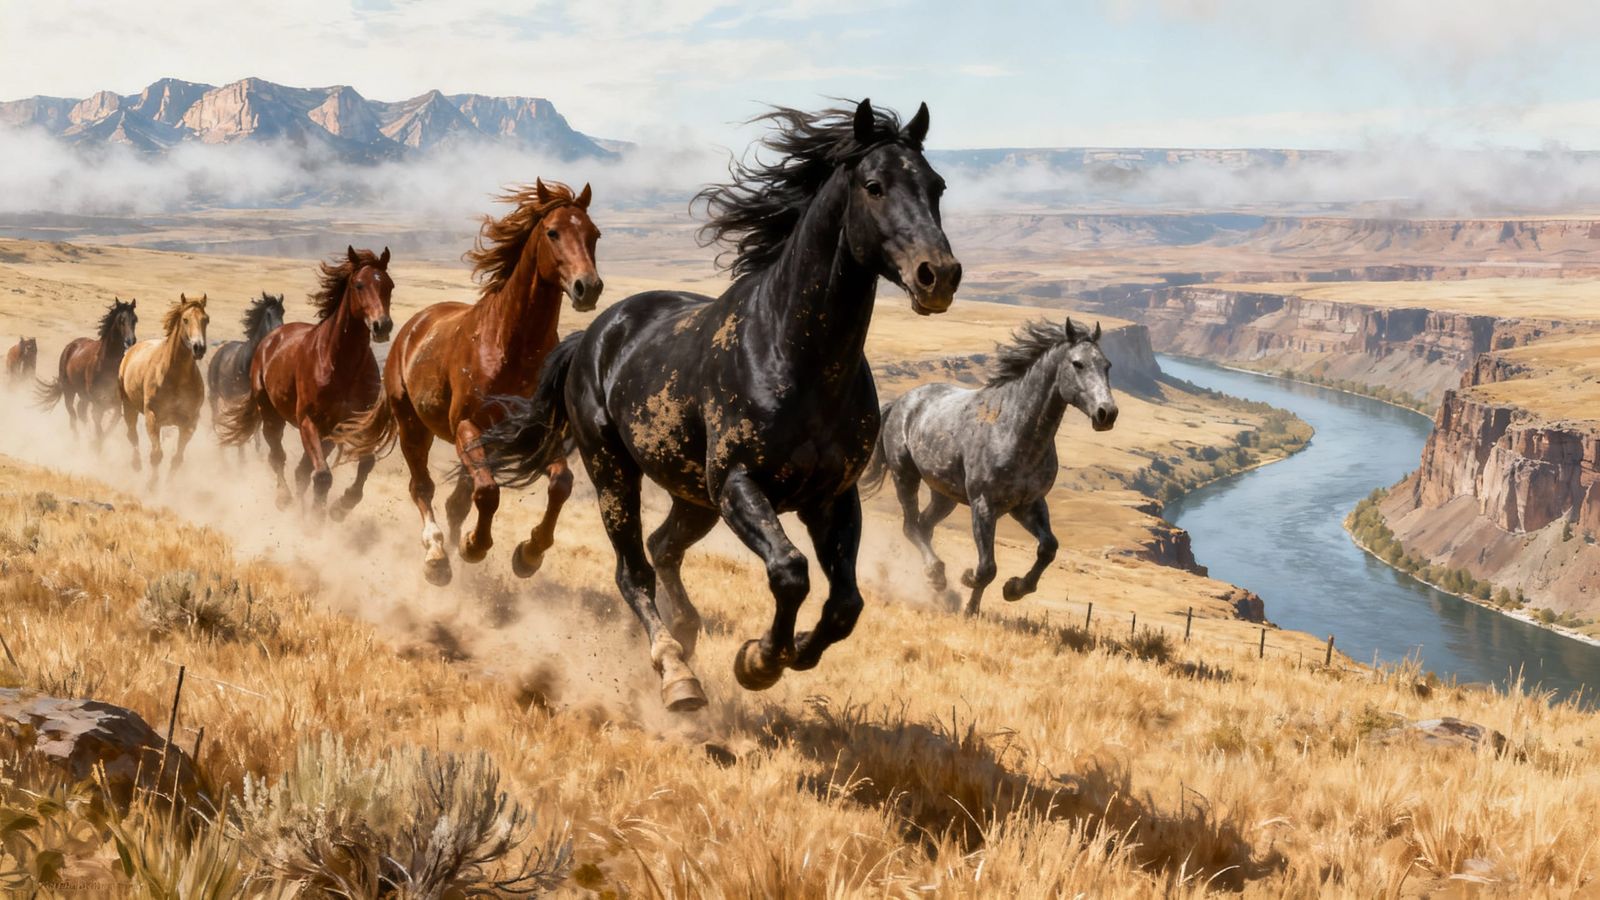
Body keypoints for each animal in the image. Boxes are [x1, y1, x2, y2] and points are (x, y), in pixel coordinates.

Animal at [35, 298, 138, 444]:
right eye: (121, 320)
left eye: (135, 319)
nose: (130, 341)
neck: (106, 362)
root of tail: (71, 346)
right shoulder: (97, 401)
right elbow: (98, 422)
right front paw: (96, 444)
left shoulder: (114, 401)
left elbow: (114, 419)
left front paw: (96, 443)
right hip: (69, 391)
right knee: (73, 415)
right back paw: (77, 442)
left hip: (83, 396)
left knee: (81, 412)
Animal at [118, 294, 210, 483]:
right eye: (185, 319)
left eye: (206, 320)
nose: (199, 347)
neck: (176, 378)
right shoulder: (153, 417)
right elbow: (156, 455)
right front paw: (152, 486)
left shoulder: (190, 423)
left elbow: (177, 459)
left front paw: (168, 485)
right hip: (129, 406)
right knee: (132, 436)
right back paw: (136, 465)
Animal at [333, 180, 601, 586]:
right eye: (553, 232)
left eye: (594, 235)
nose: (589, 287)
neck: (511, 346)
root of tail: (410, 329)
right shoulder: (467, 428)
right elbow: (488, 492)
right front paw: (474, 546)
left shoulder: (537, 432)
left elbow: (561, 484)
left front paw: (528, 554)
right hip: (413, 427)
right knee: (422, 488)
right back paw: (437, 556)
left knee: (455, 500)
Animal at [476, 100, 961, 712]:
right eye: (874, 186)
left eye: (937, 186)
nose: (938, 275)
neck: (794, 358)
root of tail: (592, 335)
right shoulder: (737, 484)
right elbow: (790, 570)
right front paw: (759, 661)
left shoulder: (831, 498)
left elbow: (846, 604)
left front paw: (782, 654)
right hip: (615, 471)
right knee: (633, 570)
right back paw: (675, 673)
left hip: (693, 497)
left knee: (662, 548)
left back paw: (685, 634)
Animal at [859, 319, 1118, 616]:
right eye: (1078, 364)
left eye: (1107, 365)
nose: (1107, 413)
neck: (1013, 431)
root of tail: (901, 402)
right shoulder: (983, 504)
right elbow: (986, 568)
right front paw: (969, 586)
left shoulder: (1028, 504)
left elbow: (1048, 547)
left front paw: (1014, 589)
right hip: (905, 475)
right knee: (911, 526)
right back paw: (937, 575)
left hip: (945, 495)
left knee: (924, 525)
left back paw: (940, 590)